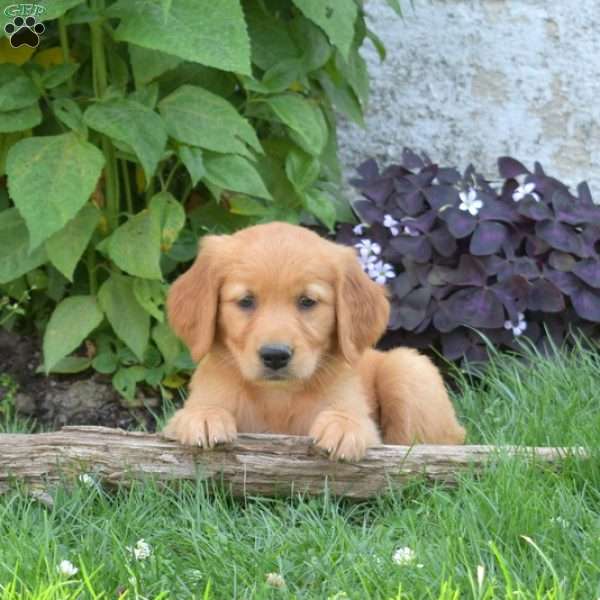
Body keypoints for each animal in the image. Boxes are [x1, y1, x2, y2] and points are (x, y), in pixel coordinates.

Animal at [163, 220, 464, 460]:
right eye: (246, 301)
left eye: (307, 302)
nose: (275, 355)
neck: (278, 397)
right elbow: (193, 412)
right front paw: (204, 415)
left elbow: (354, 419)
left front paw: (343, 426)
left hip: (409, 370)